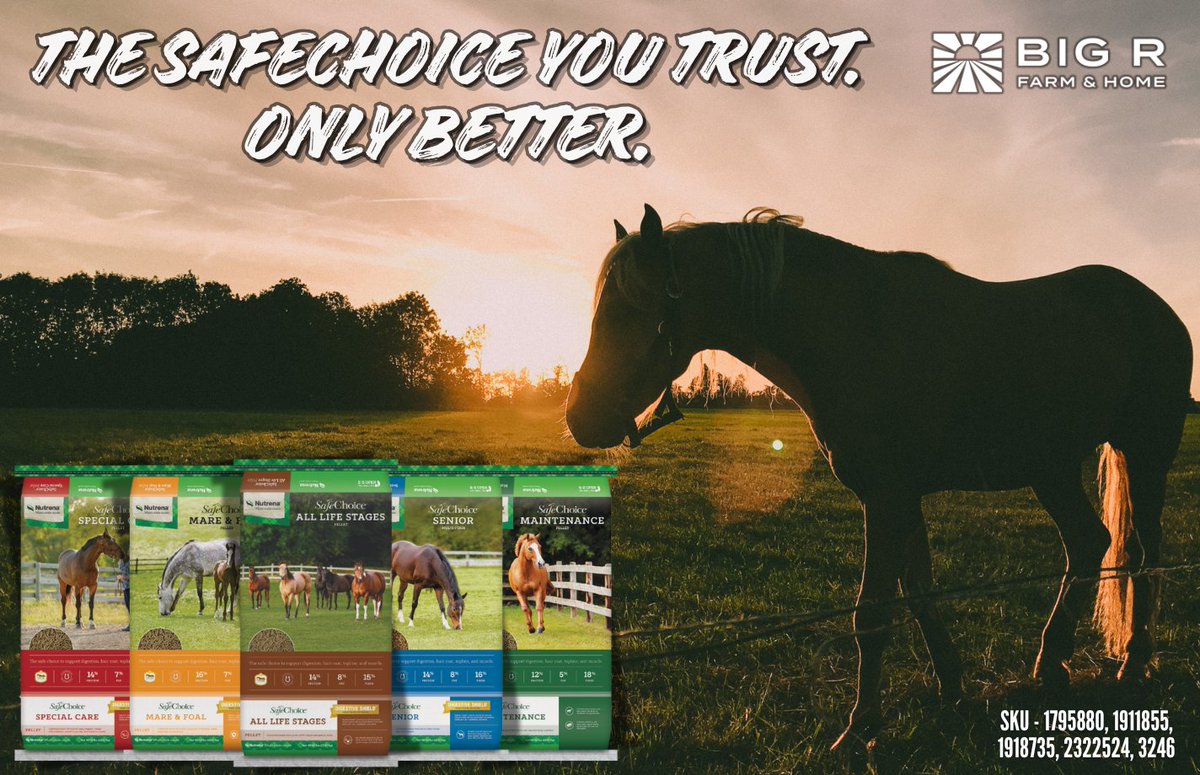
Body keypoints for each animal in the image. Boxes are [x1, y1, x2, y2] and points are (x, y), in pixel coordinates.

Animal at [565, 205, 1192, 752]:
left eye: (627, 310)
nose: (579, 417)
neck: (855, 331)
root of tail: (1155, 308)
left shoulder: (885, 499)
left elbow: (872, 613)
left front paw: (861, 726)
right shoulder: (900, 499)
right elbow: (918, 594)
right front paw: (953, 688)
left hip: (1144, 454)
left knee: (1141, 552)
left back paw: (1133, 661)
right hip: (1052, 468)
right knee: (1089, 543)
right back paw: (1053, 663)